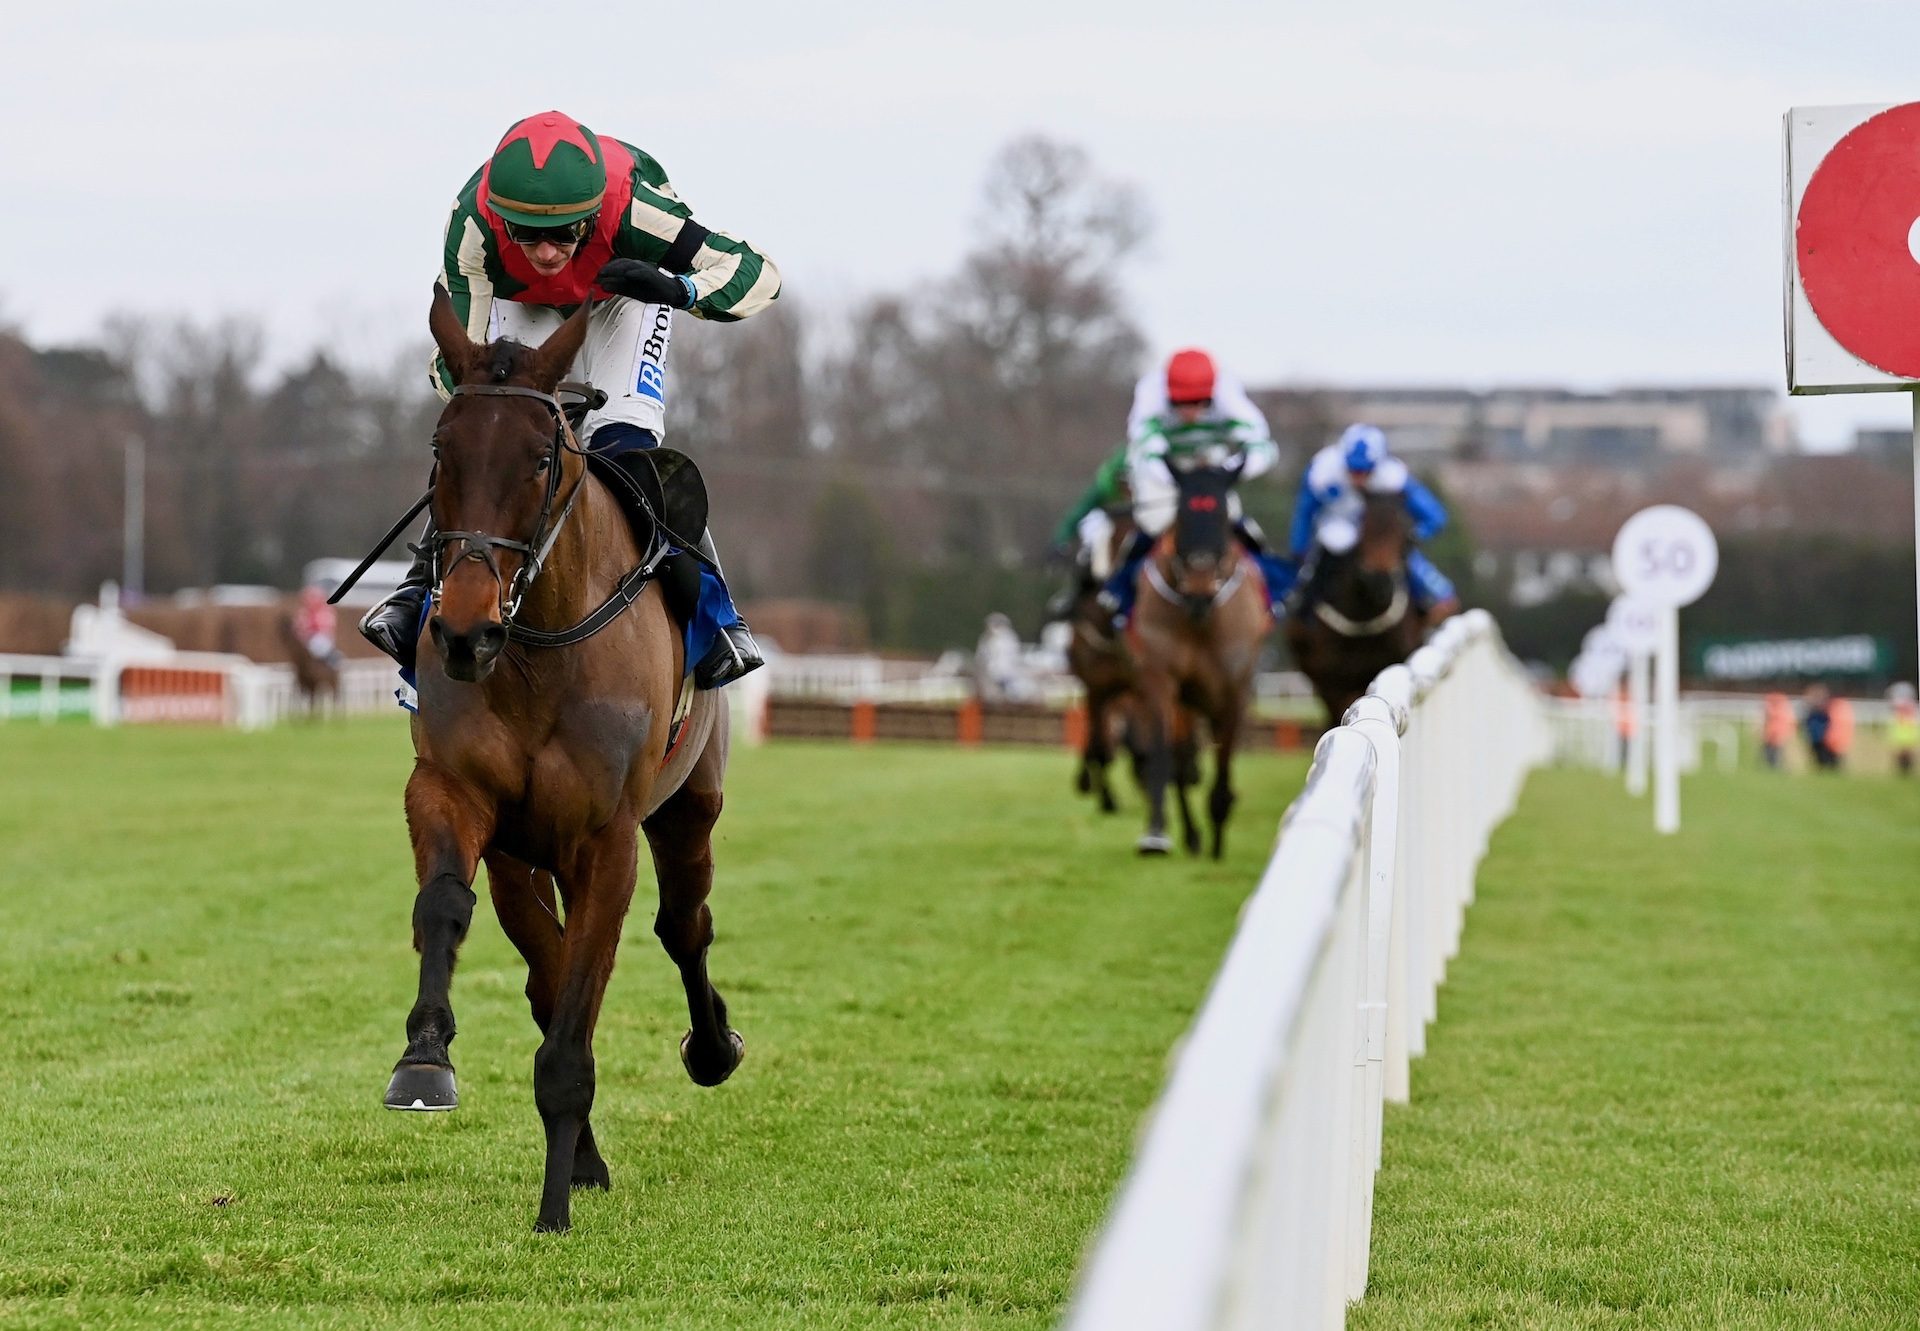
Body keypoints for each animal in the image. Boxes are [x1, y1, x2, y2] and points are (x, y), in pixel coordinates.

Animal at [385, 286, 744, 1229]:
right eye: (440, 451)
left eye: (542, 459)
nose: (464, 630)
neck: (539, 652)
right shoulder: (461, 798)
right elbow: (457, 915)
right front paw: (424, 1059)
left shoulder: (607, 839)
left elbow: (583, 995)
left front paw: (553, 1205)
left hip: (690, 805)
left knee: (684, 924)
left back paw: (713, 1047)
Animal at [1128, 457, 1267, 856]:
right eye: (1181, 513)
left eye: (1221, 514)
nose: (1199, 591)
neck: (1201, 619)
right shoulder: (1160, 677)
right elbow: (1163, 754)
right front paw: (1156, 834)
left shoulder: (1235, 688)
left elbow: (1224, 758)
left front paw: (1219, 830)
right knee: (1180, 757)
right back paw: (1190, 834)